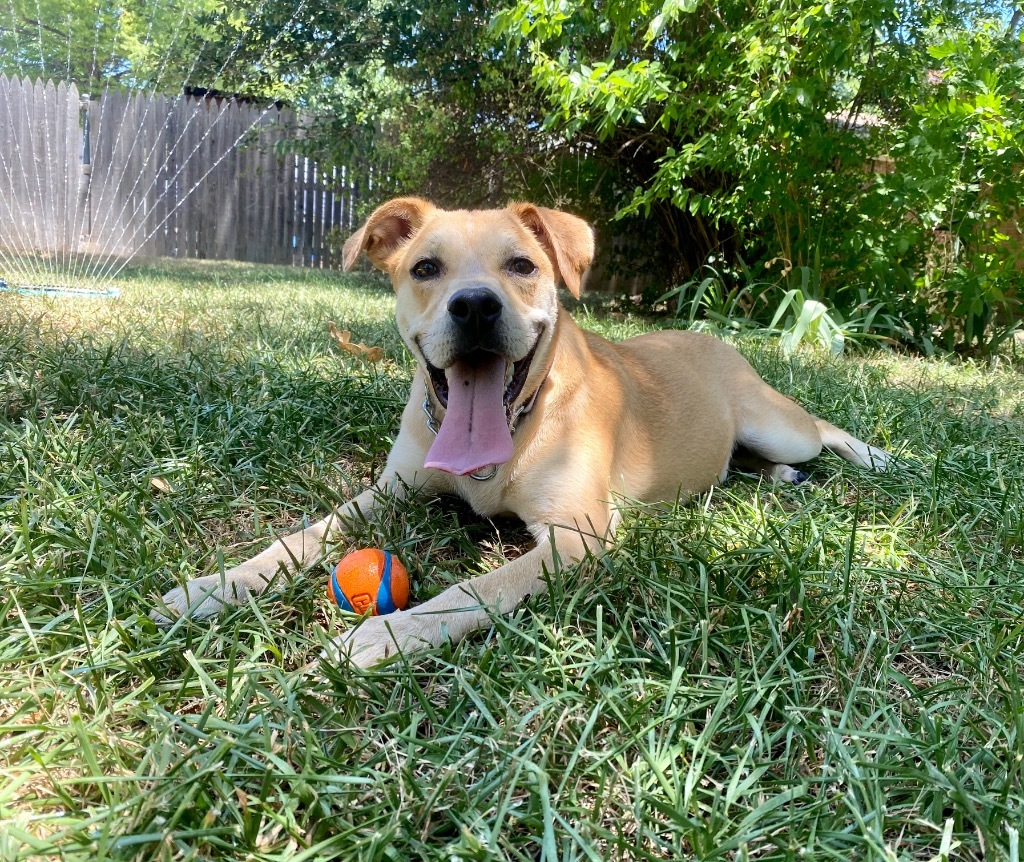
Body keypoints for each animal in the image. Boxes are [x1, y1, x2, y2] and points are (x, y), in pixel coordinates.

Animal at [149, 196, 888, 663]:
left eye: (522, 266)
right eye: (425, 268)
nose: (475, 307)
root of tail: (709, 335)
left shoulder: (577, 538)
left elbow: (473, 590)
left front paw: (380, 640)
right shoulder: (388, 491)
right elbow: (302, 537)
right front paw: (215, 587)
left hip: (775, 420)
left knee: (819, 426)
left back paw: (873, 455)